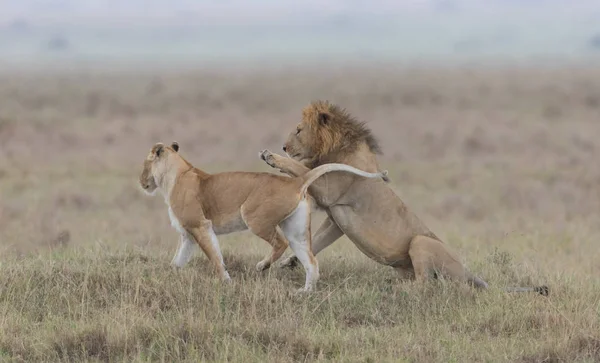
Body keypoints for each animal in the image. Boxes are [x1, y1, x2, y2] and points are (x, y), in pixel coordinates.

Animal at [138, 141, 386, 292]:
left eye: (144, 164)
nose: (141, 182)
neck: (176, 174)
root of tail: (295, 181)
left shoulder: (201, 225)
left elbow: (215, 256)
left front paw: (226, 281)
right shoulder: (188, 234)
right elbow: (178, 260)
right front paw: (169, 275)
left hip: (254, 216)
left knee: (280, 243)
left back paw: (262, 266)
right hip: (296, 230)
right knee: (311, 261)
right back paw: (305, 291)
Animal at [258, 100, 548, 296]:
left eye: (298, 130)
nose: (284, 146)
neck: (333, 149)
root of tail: (467, 271)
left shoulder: (330, 189)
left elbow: (300, 169)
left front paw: (273, 156)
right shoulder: (336, 219)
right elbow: (317, 241)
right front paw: (287, 262)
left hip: (421, 242)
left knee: (425, 285)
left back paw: (395, 290)